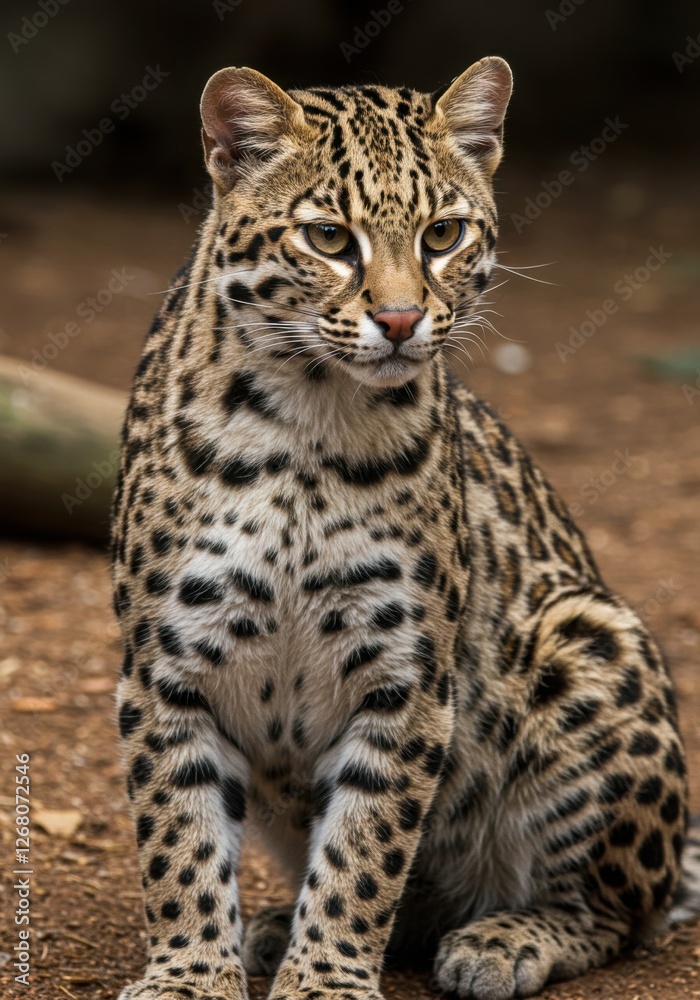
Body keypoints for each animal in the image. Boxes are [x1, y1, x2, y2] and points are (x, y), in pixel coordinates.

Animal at [111, 57, 699, 1000]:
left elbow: (364, 850)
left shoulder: (407, 674)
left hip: (591, 639)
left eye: (443, 234)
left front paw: (324, 980)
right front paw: (189, 975)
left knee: (616, 912)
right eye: (328, 239)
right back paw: (269, 929)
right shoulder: (166, 664)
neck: (308, 423)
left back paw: (502, 941)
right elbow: (179, 840)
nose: (397, 320)